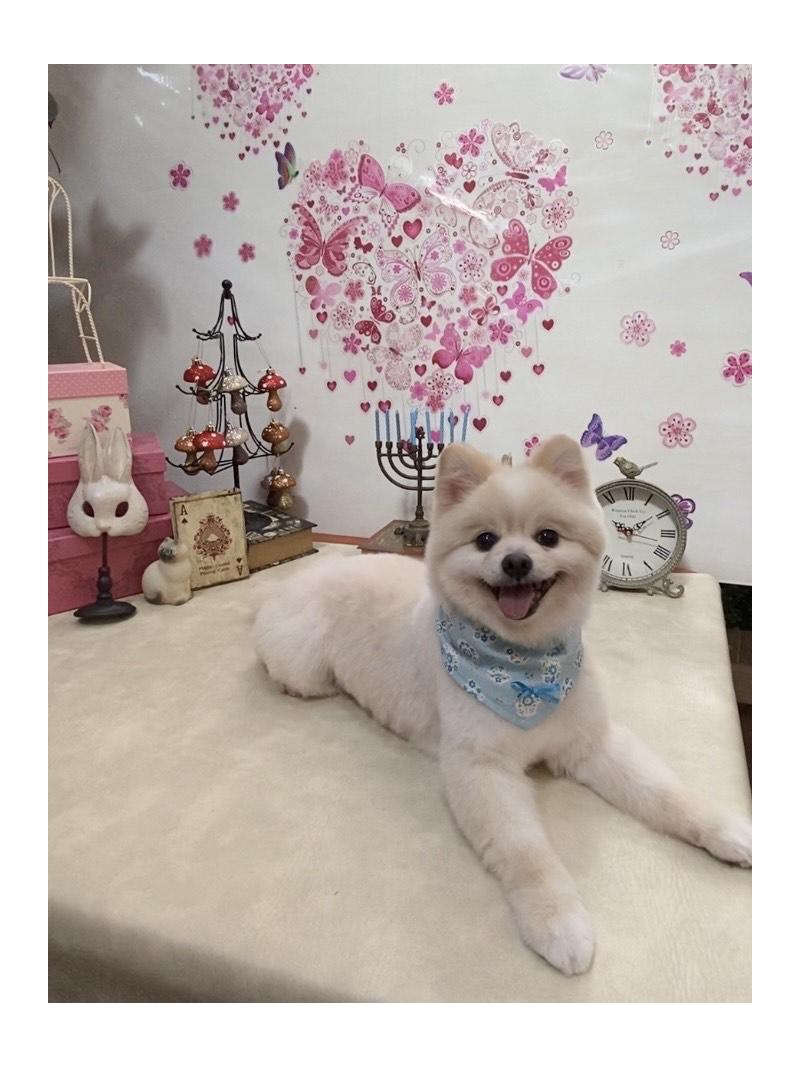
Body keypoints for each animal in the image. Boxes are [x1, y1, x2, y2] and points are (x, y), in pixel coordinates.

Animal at [253, 435, 751, 975]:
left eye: (548, 537)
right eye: (485, 540)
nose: (516, 562)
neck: (524, 669)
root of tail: (297, 577)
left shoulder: (591, 742)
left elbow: (666, 794)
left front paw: (725, 830)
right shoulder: (482, 768)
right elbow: (526, 852)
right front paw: (559, 923)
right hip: (304, 666)